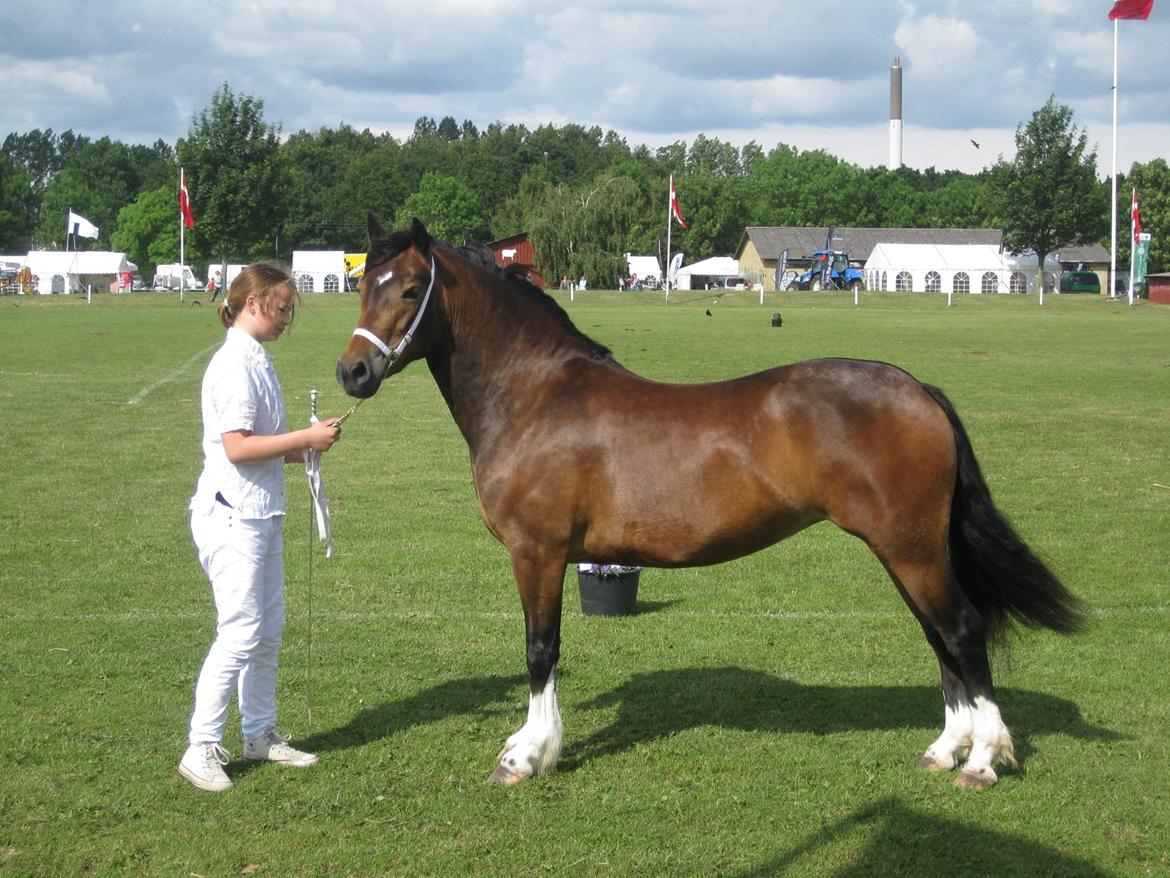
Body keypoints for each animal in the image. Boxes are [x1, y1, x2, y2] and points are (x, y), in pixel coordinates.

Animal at [334, 218, 1081, 791]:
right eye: (360, 284)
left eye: (409, 288)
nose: (352, 372)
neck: (535, 396)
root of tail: (918, 390)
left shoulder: (537, 553)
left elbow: (540, 650)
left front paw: (527, 754)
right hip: (905, 551)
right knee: (939, 637)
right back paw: (946, 749)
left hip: (913, 548)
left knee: (963, 632)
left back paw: (982, 760)